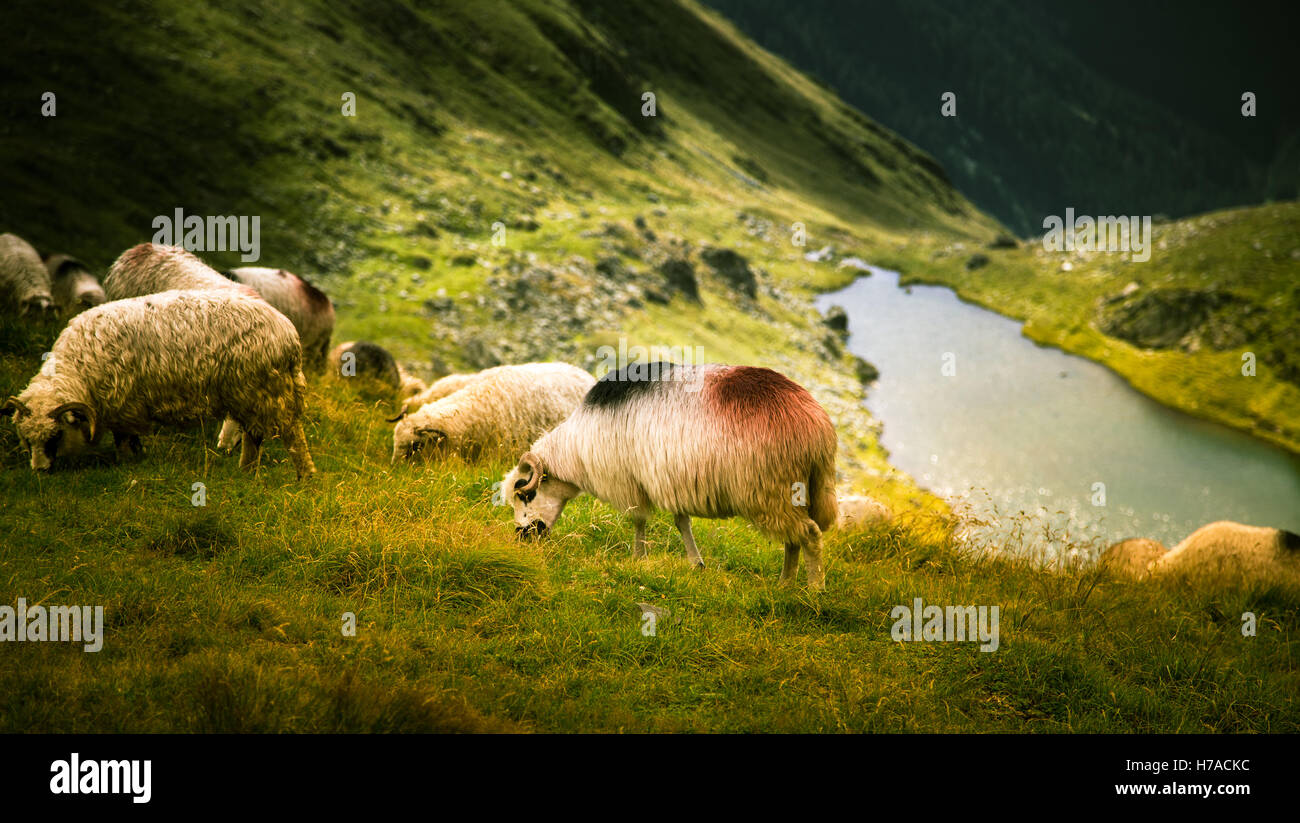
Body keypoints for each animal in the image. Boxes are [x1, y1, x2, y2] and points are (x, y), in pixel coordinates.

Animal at [2, 289, 315, 479]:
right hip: (247, 394)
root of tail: (288, 332)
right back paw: (246, 472)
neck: (79, 368)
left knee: (292, 434)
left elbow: (124, 439)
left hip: (264, 391)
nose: (39, 471)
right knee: (254, 435)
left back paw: (304, 475)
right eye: (26, 439)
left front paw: (128, 461)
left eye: (55, 436)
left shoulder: (123, 403)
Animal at [501, 362, 838, 589]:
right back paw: (784, 583)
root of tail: (816, 425)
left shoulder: (630, 481)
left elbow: (638, 520)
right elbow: (681, 522)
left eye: (525, 494)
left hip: (770, 491)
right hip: (796, 490)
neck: (576, 449)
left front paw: (638, 559)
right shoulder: (672, 480)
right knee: (793, 538)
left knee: (809, 534)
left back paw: (814, 590)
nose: (521, 537)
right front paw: (696, 563)